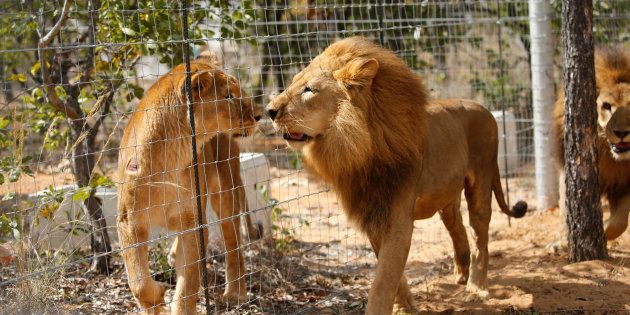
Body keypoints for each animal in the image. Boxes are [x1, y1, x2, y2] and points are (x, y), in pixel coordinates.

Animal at [266, 36, 528, 314]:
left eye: (309, 90)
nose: (269, 110)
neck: (359, 150)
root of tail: (485, 108)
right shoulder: (372, 214)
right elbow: (394, 276)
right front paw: (404, 308)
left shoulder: (398, 217)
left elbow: (383, 280)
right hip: (446, 196)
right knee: (457, 227)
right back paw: (461, 273)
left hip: (481, 178)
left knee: (481, 235)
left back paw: (476, 288)